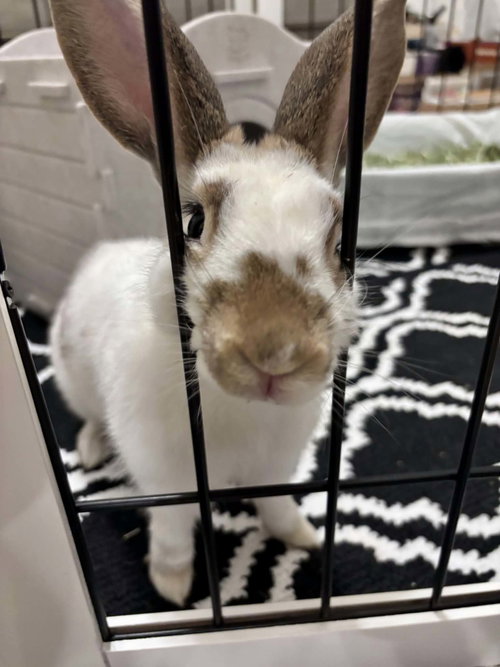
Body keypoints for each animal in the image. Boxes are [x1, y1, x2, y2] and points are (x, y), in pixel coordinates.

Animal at [49, 0, 406, 606]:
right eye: (192, 223)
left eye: (341, 244)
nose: (276, 354)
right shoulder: (165, 477)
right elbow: (171, 532)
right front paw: (172, 586)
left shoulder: (278, 466)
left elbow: (276, 505)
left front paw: (301, 537)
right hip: (76, 380)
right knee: (89, 418)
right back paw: (93, 448)